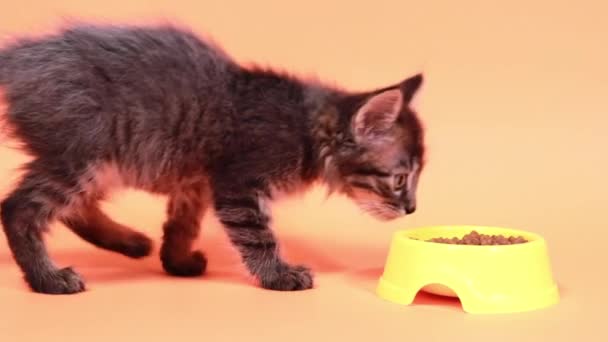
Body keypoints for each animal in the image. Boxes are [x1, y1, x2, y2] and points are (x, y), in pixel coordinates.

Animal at [0, 23, 426, 294]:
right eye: (400, 179)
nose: (411, 209)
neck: (307, 128)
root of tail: (21, 57)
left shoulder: (195, 183)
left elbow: (181, 226)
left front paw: (177, 261)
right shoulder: (239, 185)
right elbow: (257, 237)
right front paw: (279, 275)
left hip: (96, 163)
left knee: (74, 209)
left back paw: (130, 242)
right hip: (84, 153)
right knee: (18, 209)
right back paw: (49, 280)